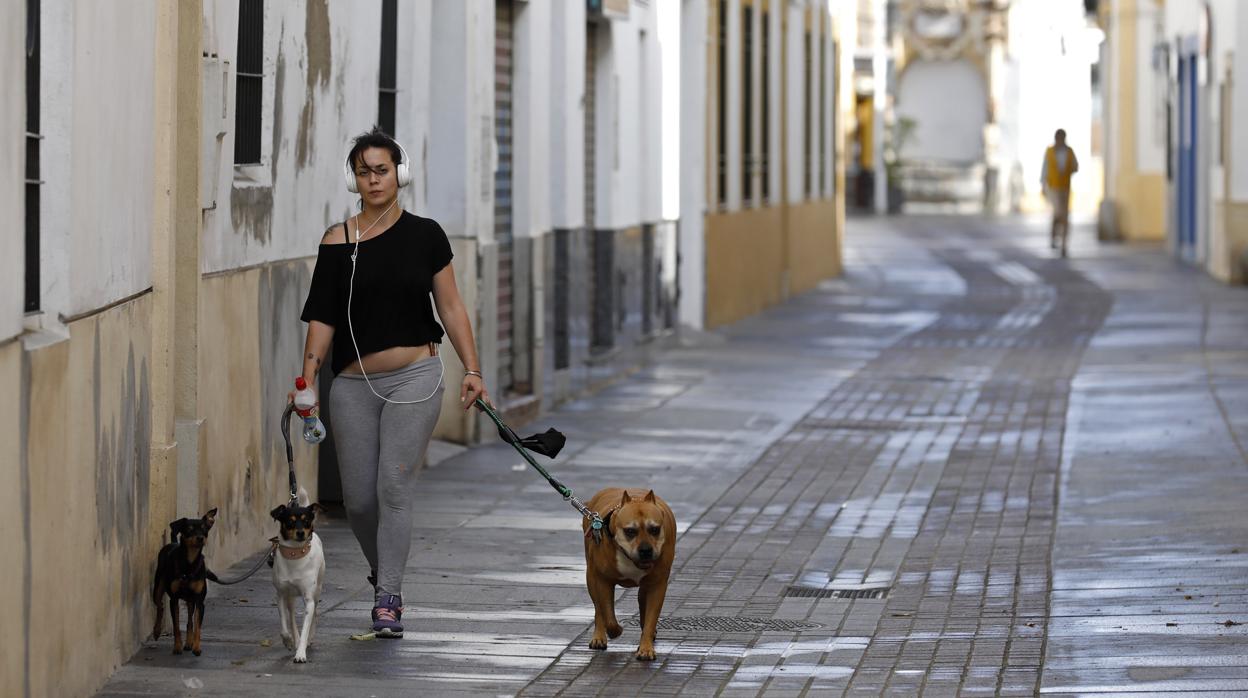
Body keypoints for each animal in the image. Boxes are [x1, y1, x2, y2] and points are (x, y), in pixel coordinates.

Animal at [149, 506, 218, 654]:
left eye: (204, 528)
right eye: (190, 528)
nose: (200, 538)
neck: (189, 563)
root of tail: (173, 542)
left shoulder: (199, 601)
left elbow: (197, 625)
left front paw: (196, 647)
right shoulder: (174, 599)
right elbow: (176, 626)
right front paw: (177, 647)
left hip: (190, 600)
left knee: (189, 621)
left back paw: (189, 643)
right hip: (158, 588)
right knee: (160, 606)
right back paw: (157, 631)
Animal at [581, 486, 678, 659]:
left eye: (654, 529)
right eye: (630, 531)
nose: (646, 550)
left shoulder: (657, 586)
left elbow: (651, 617)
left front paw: (646, 648)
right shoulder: (603, 581)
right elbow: (607, 614)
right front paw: (615, 631)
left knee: (642, 603)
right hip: (591, 577)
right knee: (598, 609)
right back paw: (599, 636)